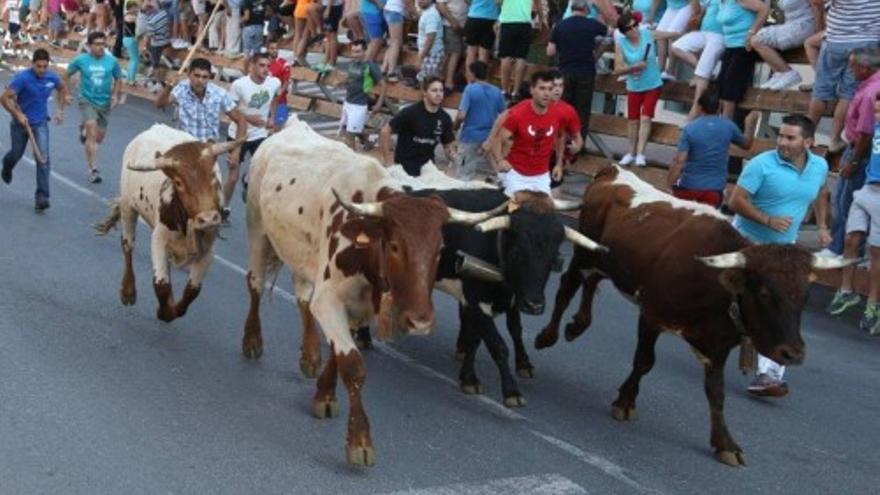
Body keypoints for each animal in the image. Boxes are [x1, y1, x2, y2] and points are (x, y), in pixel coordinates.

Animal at [95, 125, 244, 322]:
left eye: (213, 175)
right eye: (179, 182)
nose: (208, 218)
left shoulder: (208, 250)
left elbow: (192, 291)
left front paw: (174, 307)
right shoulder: (159, 239)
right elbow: (161, 285)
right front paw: (164, 312)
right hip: (128, 208)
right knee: (127, 246)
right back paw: (128, 292)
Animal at [244, 118, 506, 466]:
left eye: (439, 248)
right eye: (394, 246)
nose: (420, 321)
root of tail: (293, 125)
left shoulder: (360, 304)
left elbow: (339, 352)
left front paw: (324, 393)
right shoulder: (330, 299)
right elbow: (353, 364)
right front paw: (360, 441)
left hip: (303, 256)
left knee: (302, 297)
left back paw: (309, 355)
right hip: (258, 232)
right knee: (256, 284)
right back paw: (252, 340)